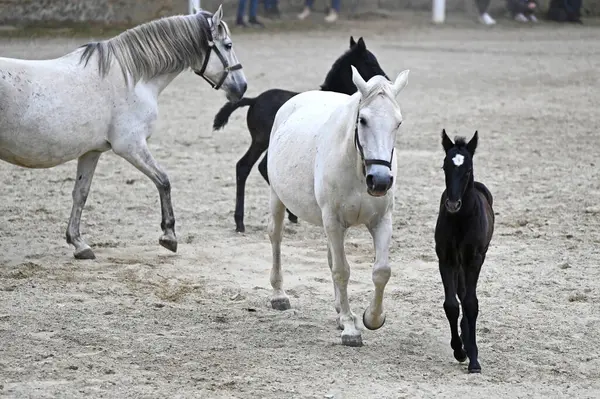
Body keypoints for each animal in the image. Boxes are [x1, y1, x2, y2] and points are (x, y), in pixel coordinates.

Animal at [0, 7, 246, 262]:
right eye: (228, 45)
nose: (242, 87)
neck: (132, 78)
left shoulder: (91, 152)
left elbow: (81, 193)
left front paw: (78, 243)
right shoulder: (130, 146)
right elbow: (163, 181)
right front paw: (169, 235)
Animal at [211, 36, 390, 234]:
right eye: (370, 61)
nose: (387, 80)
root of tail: (255, 99)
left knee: (259, 167)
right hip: (261, 141)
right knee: (247, 166)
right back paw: (243, 221)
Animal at [268, 66, 412, 346]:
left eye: (398, 123)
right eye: (363, 120)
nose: (380, 180)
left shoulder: (381, 221)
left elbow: (381, 271)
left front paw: (371, 317)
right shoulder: (333, 221)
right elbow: (341, 271)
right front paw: (349, 327)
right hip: (277, 197)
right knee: (276, 237)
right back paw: (279, 295)